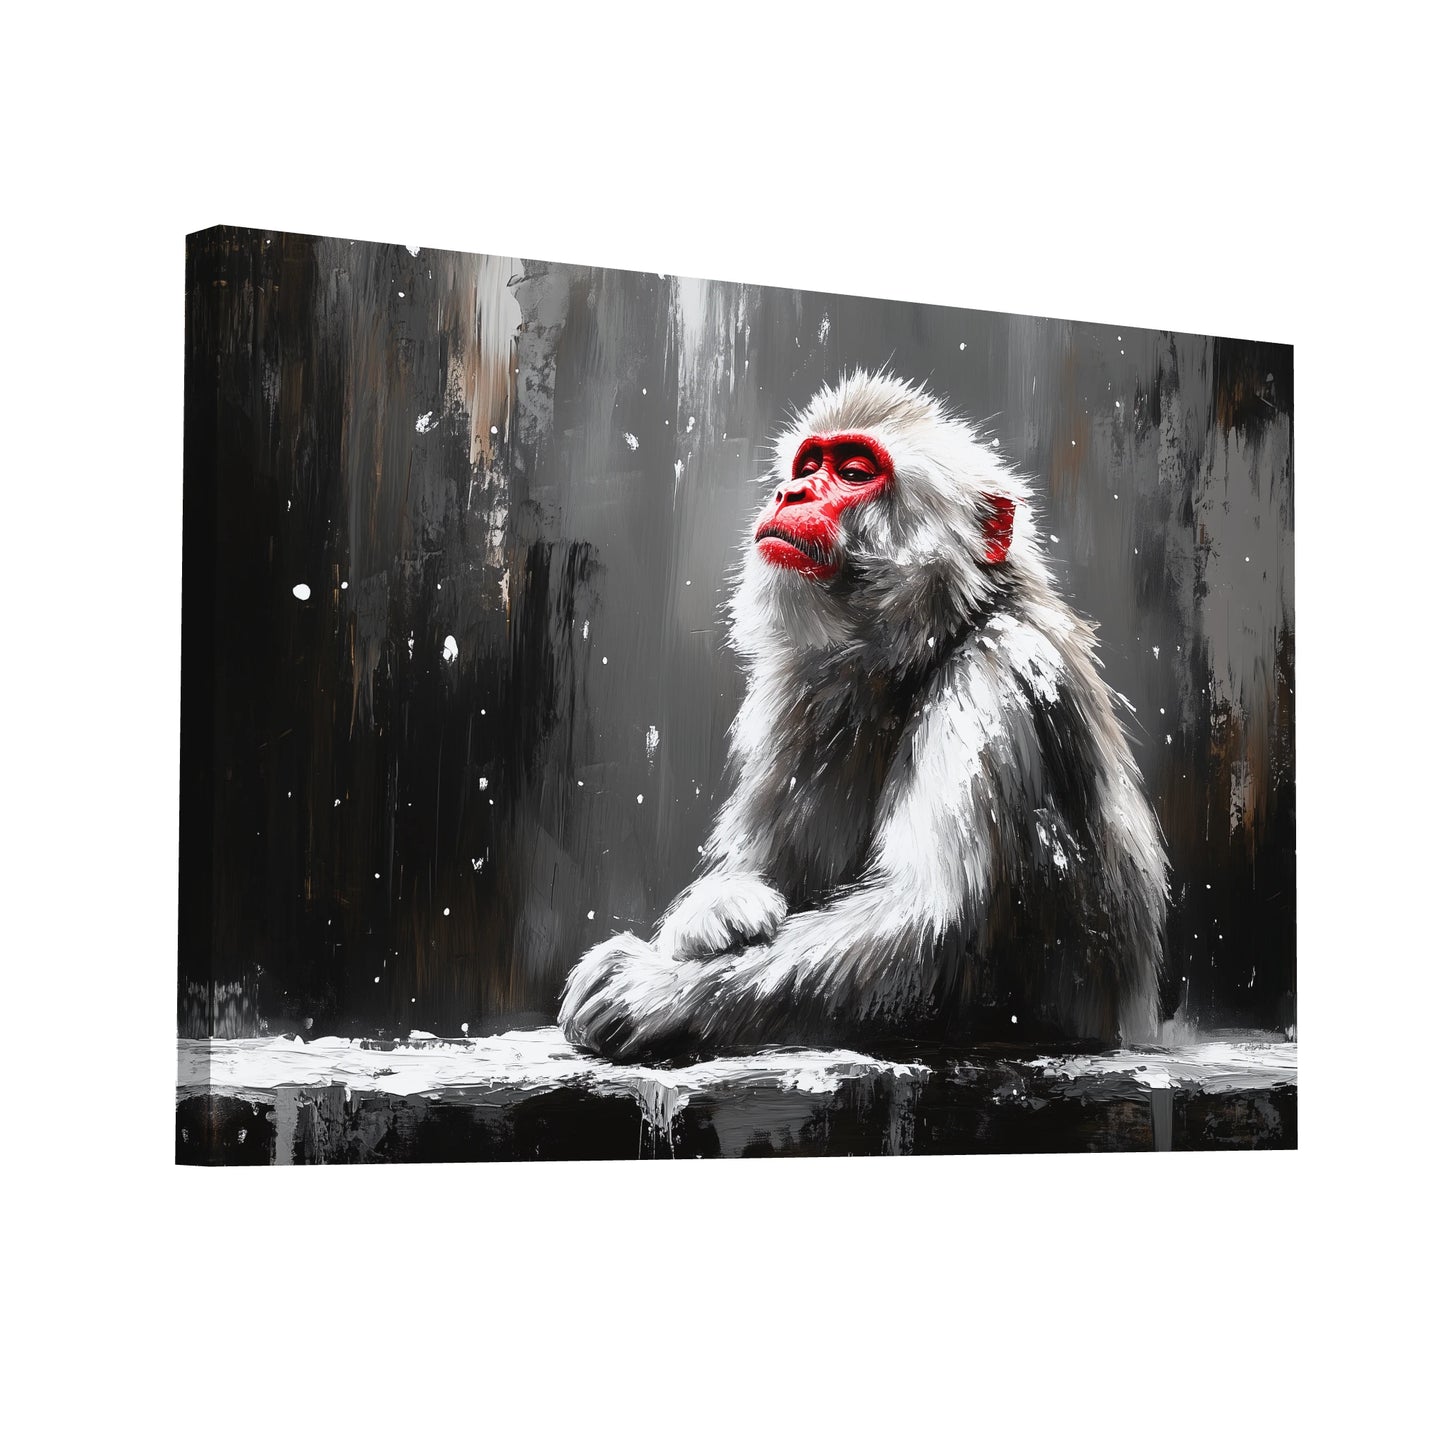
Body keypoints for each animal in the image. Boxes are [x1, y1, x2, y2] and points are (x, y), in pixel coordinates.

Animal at [559, 370, 1167, 1062]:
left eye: (852, 472)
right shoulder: (798, 698)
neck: (920, 646)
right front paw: (710, 912)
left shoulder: (994, 678)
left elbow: (925, 929)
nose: (789, 492)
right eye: (808, 466)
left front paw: (647, 989)